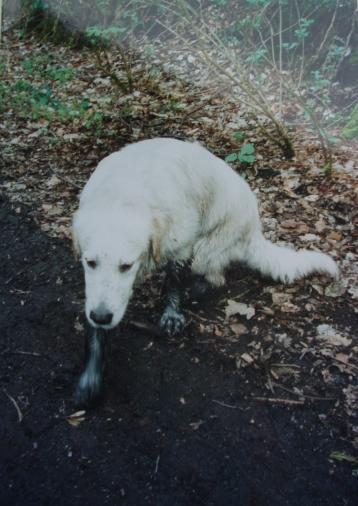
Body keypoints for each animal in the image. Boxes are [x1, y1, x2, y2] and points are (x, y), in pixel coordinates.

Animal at [72, 136, 338, 406]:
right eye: (90, 262)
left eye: (126, 266)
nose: (102, 317)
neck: (124, 192)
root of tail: (254, 228)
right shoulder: (96, 293)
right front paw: (91, 376)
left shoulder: (182, 247)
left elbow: (174, 284)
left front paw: (172, 313)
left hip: (204, 251)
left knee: (216, 280)